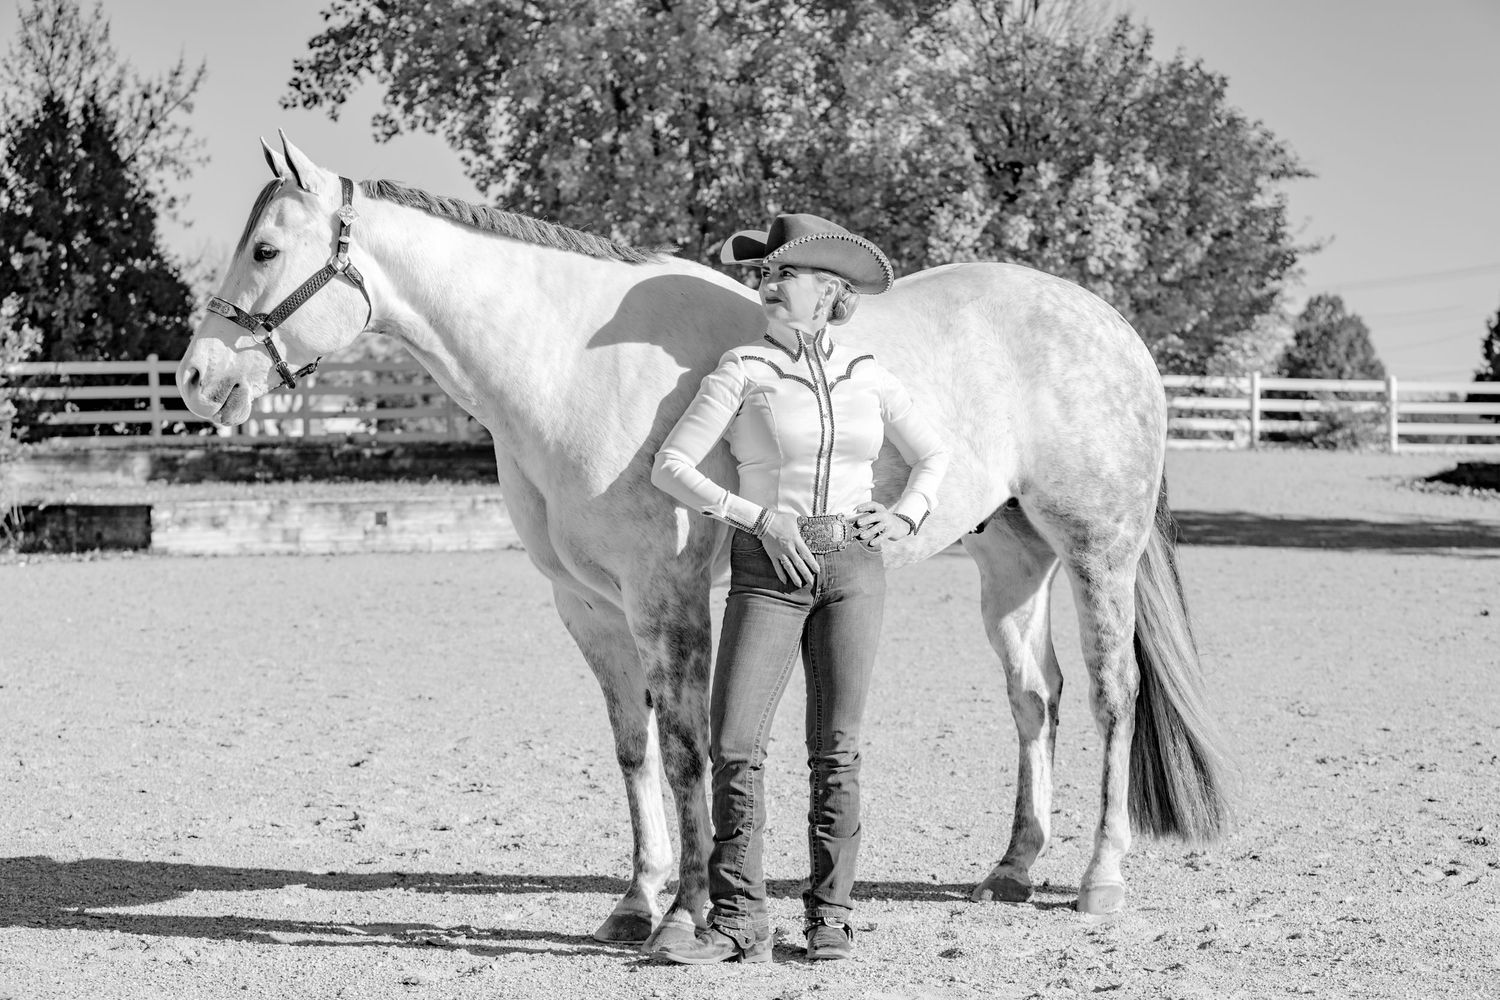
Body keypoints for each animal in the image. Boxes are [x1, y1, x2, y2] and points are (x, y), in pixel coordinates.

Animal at [176, 133, 1231, 951]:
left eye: (266, 248)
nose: (195, 379)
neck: (566, 363)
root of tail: (1110, 328)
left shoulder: (667, 596)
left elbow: (689, 748)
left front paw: (686, 914)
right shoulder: (588, 606)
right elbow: (633, 750)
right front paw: (636, 904)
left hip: (1097, 553)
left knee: (1111, 696)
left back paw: (1099, 881)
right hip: (1011, 559)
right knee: (1033, 698)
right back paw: (1012, 868)